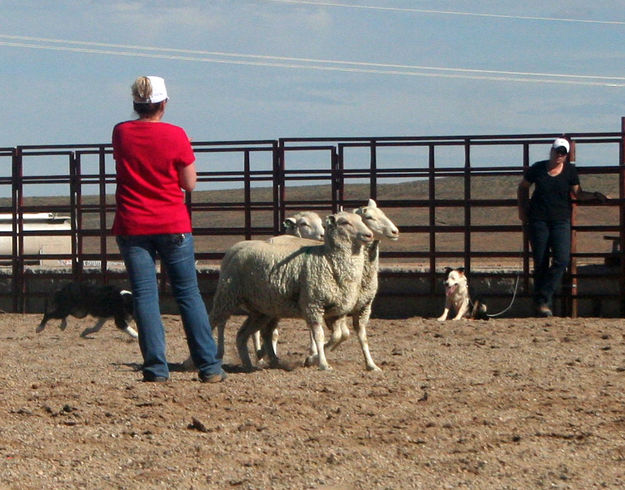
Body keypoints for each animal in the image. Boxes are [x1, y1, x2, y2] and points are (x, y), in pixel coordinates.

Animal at [212, 212, 372, 372]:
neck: (328, 259)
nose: (369, 235)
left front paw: (313, 359)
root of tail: (238, 250)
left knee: (245, 334)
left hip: (263, 310)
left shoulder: (337, 311)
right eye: (344, 222)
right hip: (227, 296)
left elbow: (339, 336)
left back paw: (254, 364)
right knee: (216, 321)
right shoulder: (313, 304)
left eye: (361, 219)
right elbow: (319, 336)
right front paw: (322, 364)